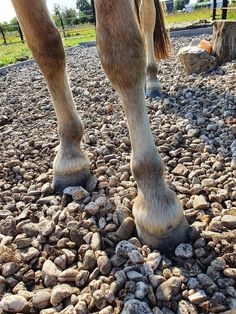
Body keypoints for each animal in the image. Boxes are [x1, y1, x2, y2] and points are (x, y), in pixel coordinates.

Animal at [10, 0, 188, 250]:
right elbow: (45, 44)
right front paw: (70, 156)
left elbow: (121, 52)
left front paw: (155, 203)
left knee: (146, 19)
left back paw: (152, 81)